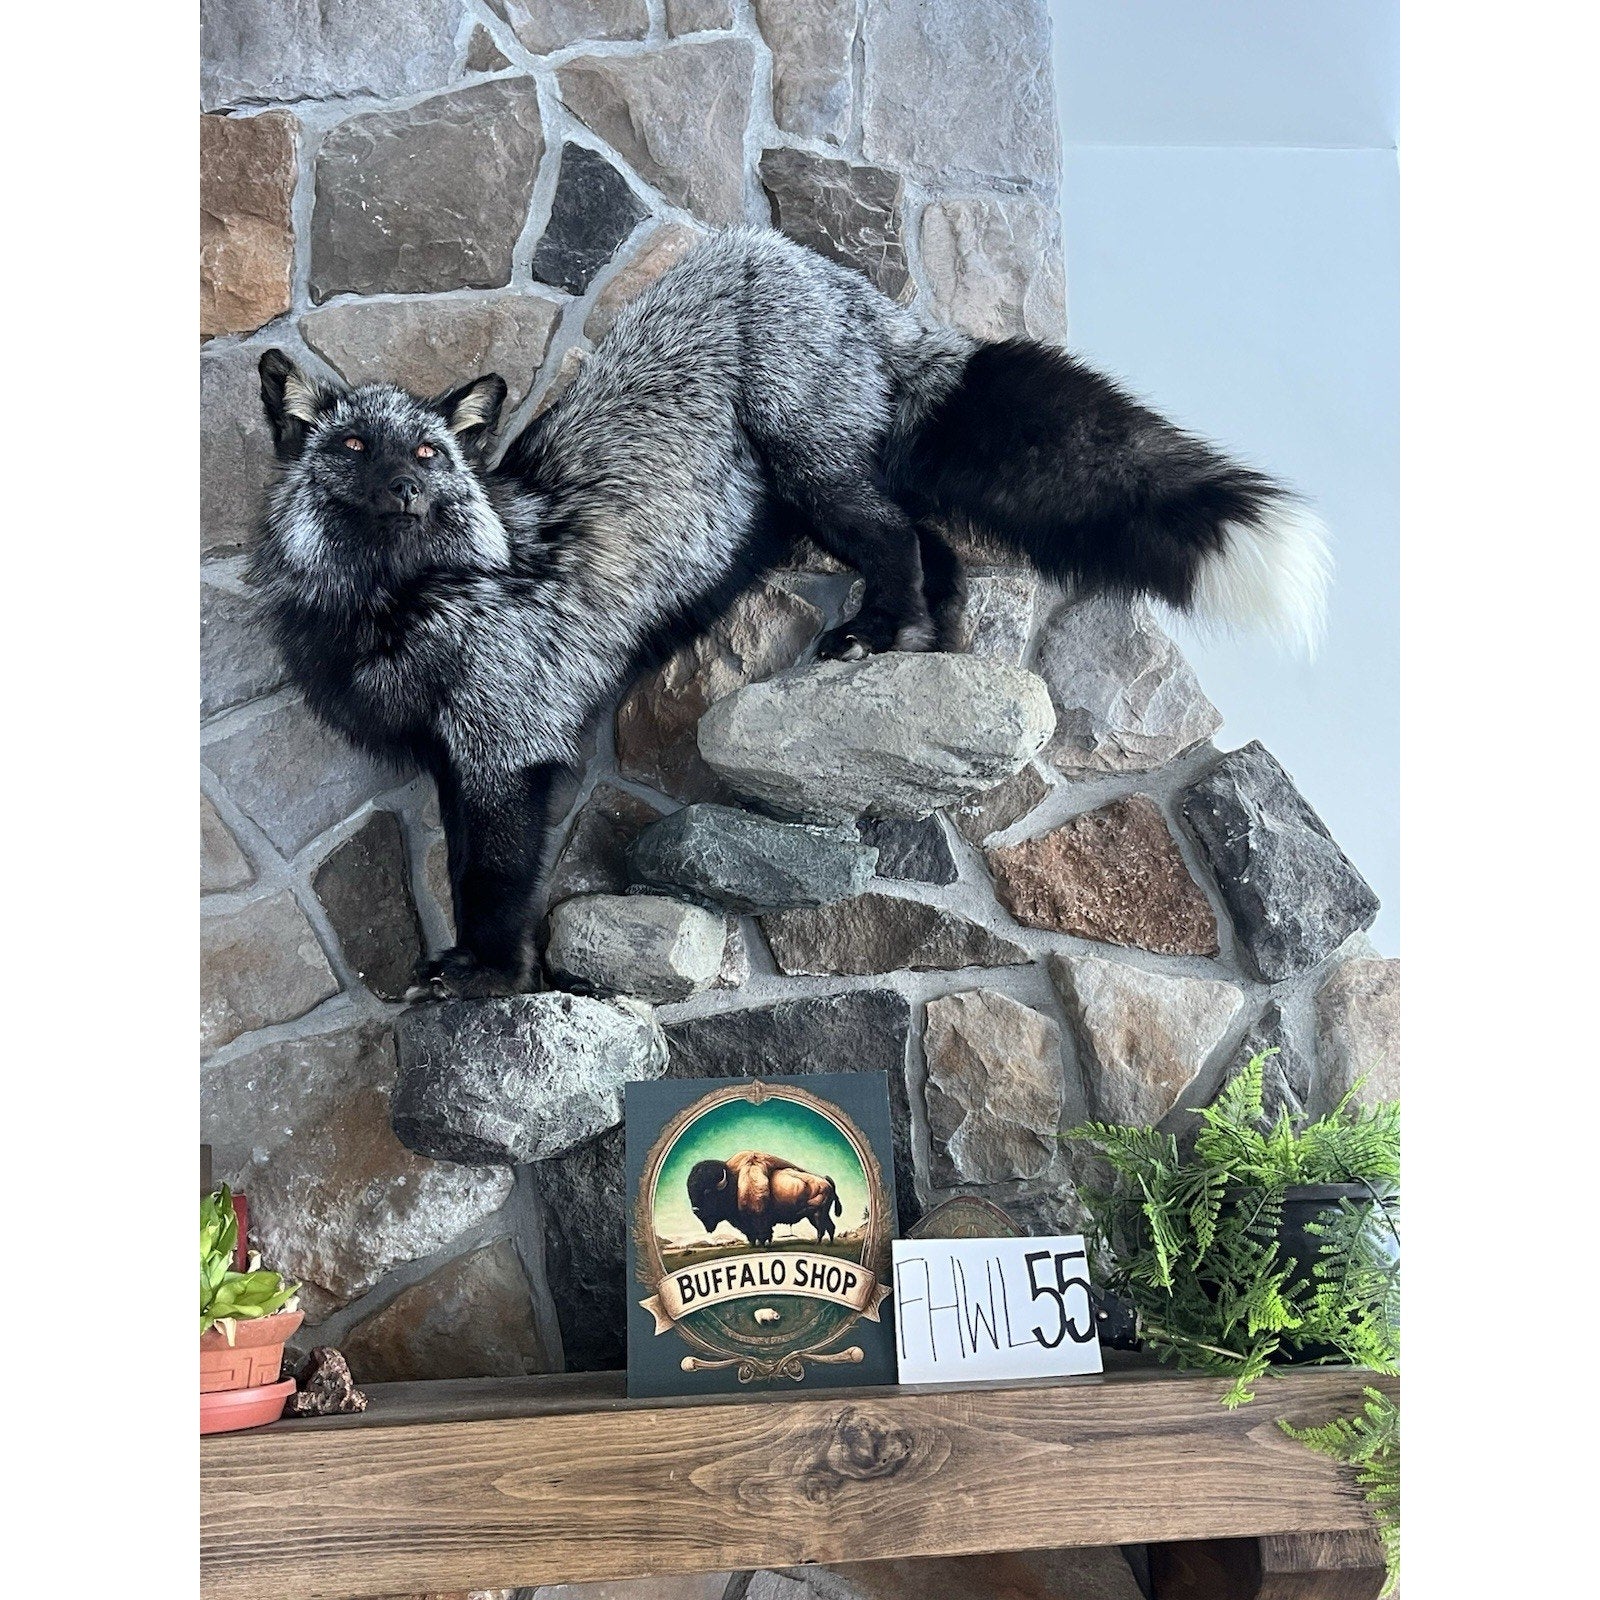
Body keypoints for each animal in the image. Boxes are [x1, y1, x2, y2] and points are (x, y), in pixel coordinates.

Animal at [249, 227, 1330, 1000]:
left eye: (429, 454)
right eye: (352, 448)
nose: (402, 486)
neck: (400, 612)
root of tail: (809, 264)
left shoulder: (506, 744)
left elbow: (493, 878)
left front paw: (487, 976)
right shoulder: (447, 758)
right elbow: (466, 861)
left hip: (814, 470)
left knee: (900, 540)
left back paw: (878, 634)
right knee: (932, 550)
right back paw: (916, 640)